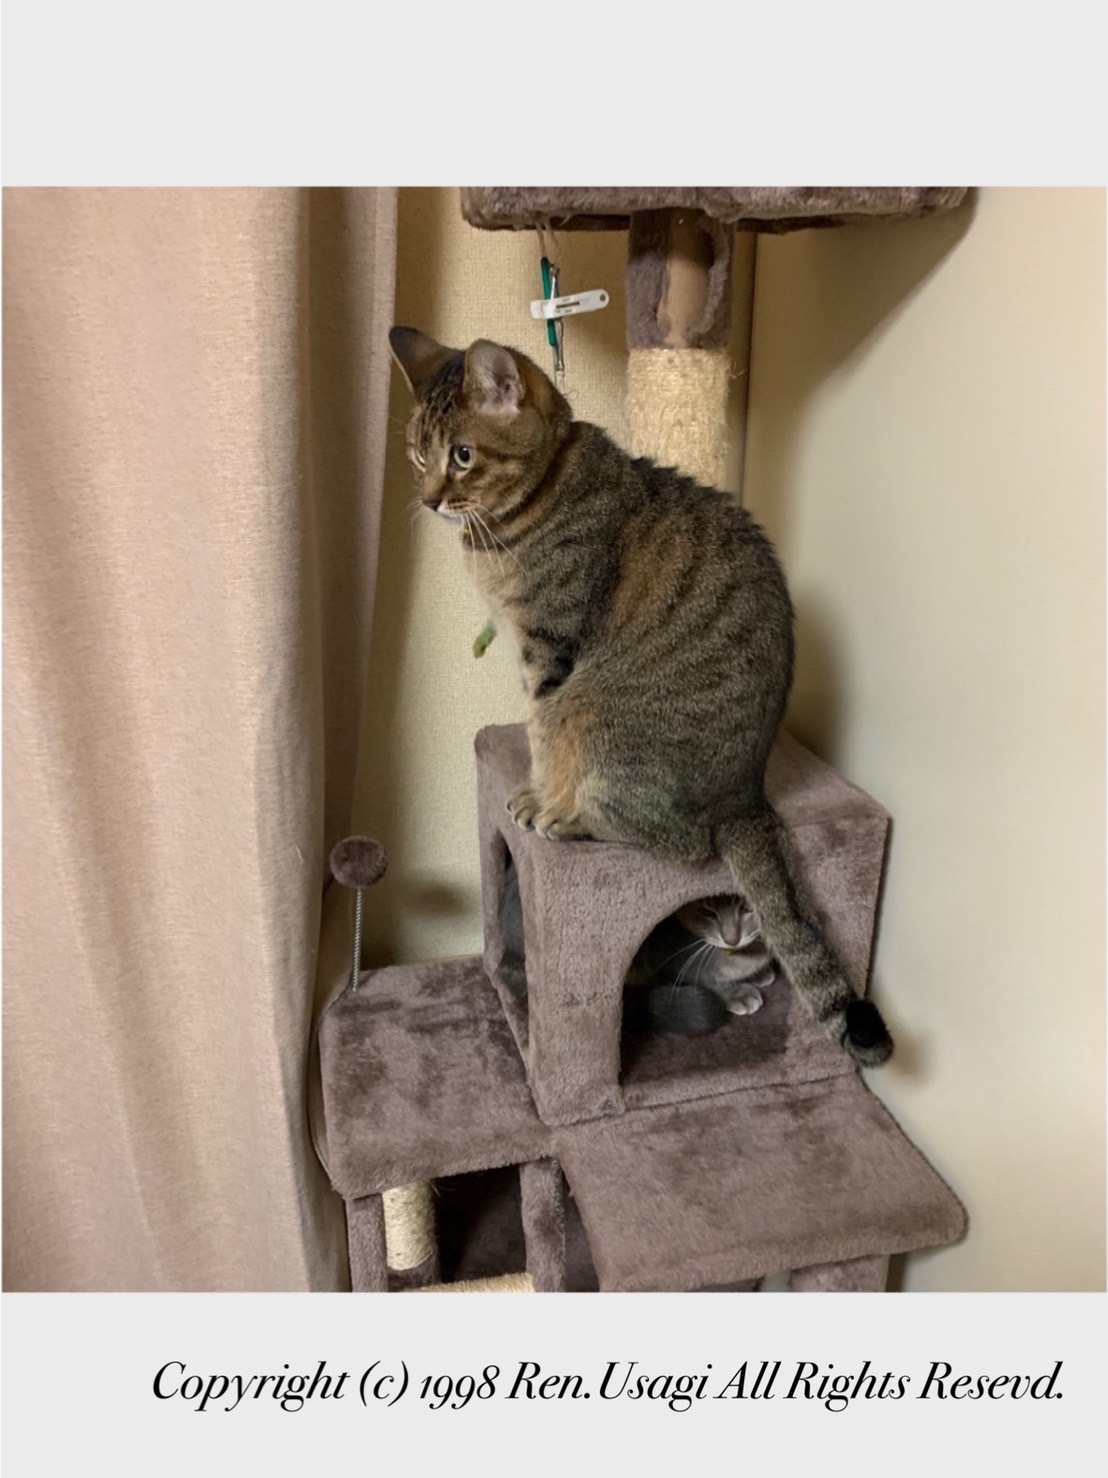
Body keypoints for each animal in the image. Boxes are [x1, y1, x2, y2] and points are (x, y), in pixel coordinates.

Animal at [498, 855, 776, 1038]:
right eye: (707, 912)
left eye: (747, 907)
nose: (732, 938)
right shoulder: (671, 960)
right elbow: (711, 980)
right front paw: (738, 993)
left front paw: (761, 973)